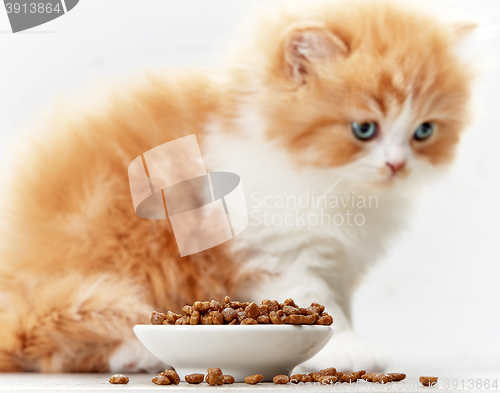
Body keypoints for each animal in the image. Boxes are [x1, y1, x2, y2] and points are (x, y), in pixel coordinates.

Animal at [0, 0, 476, 372]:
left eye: (424, 132)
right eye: (364, 129)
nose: (397, 165)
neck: (331, 181)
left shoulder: (338, 258)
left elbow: (335, 298)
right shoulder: (274, 244)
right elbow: (310, 295)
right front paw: (347, 347)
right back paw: (135, 353)